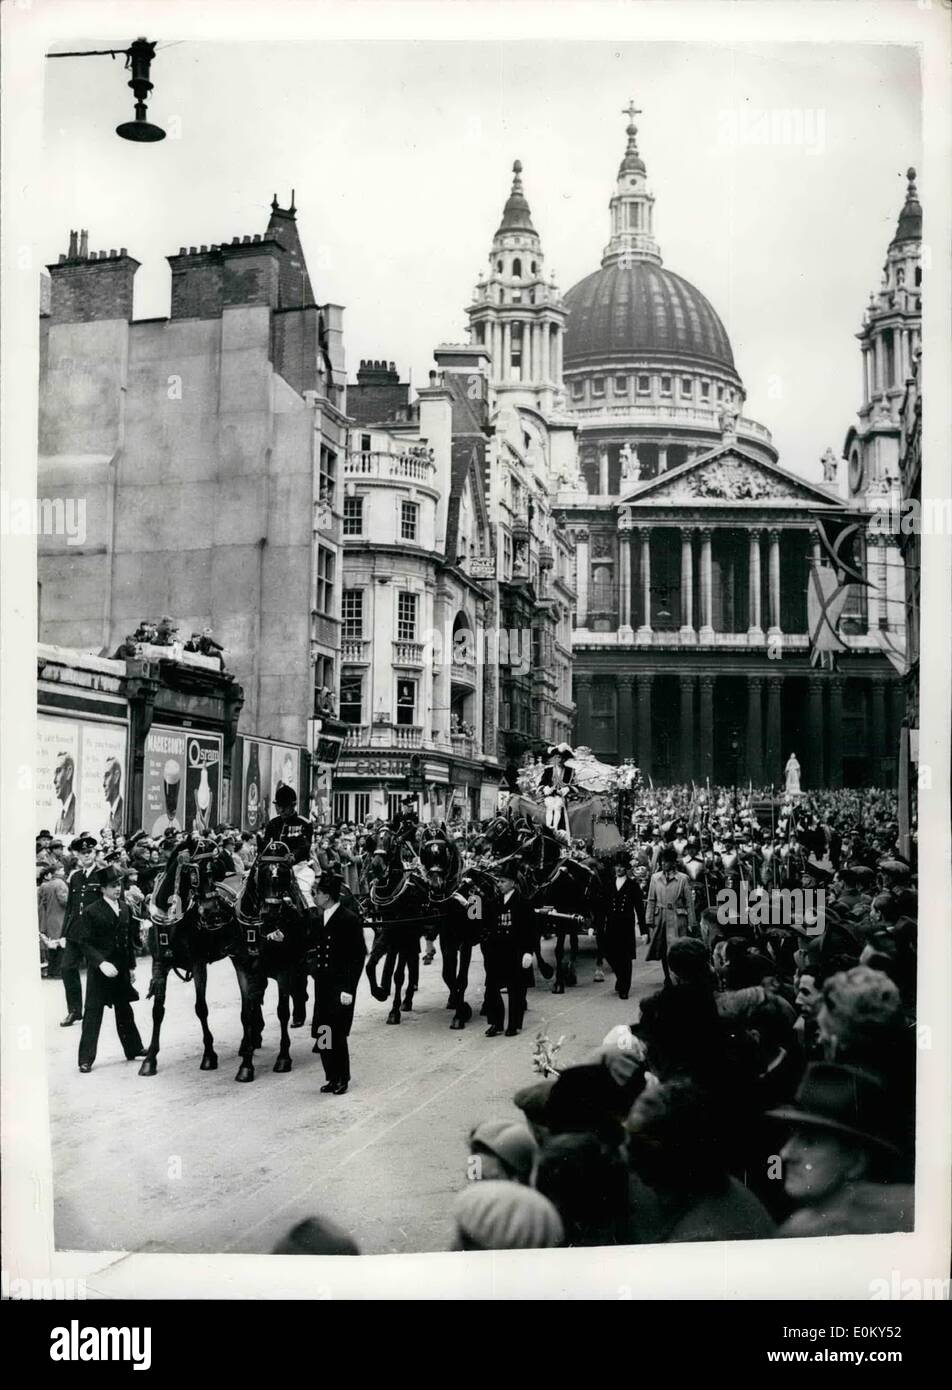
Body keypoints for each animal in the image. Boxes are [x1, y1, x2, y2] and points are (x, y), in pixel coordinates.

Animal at [138, 834, 239, 1073]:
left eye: (215, 867)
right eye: (195, 872)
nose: (213, 912)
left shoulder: (198, 963)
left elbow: (201, 1008)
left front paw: (209, 1054)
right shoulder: (159, 964)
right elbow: (157, 1010)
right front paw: (150, 1059)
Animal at [230, 839, 308, 1078]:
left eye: (284, 873)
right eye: (262, 871)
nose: (272, 911)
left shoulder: (285, 968)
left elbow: (282, 1011)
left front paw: (283, 1058)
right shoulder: (246, 970)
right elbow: (247, 1012)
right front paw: (246, 1064)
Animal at [364, 822, 433, 1023]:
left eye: (393, 842)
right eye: (373, 840)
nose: (377, 866)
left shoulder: (403, 930)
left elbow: (399, 974)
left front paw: (394, 1011)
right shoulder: (386, 929)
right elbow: (371, 963)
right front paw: (379, 991)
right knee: (411, 960)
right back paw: (407, 998)